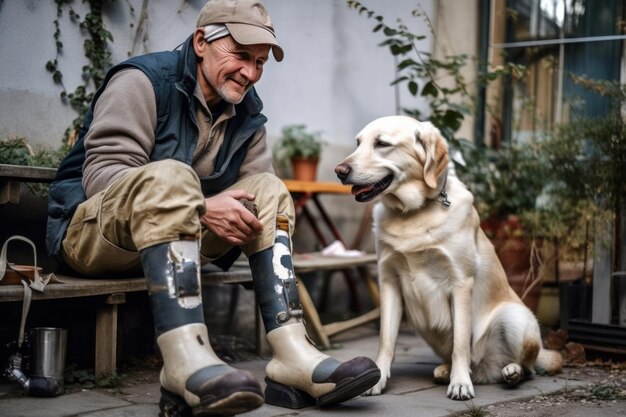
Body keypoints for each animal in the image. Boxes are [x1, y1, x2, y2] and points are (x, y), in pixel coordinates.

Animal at [334, 114, 564, 400]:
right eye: (358, 143)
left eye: (382, 144)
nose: (339, 171)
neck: (412, 213)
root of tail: (486, 369)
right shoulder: (389, 282)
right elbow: (386, 340)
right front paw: (377, 378)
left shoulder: (460, 282)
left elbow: (461, 343)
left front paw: (460, 382)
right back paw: (446, 371)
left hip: (515, 316)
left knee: (526, 366)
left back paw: (509, 372)